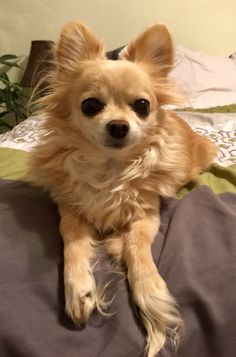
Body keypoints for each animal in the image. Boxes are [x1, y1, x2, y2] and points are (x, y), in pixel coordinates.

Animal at [30, 22, 218, 356]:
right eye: (90, 105)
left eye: (142, 106)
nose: (119, 125)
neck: (110, 168)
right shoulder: (70, 210)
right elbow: (72, 242)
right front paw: (79, 288)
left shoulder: (146, 215)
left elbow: (136, 246)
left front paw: (150, 291)